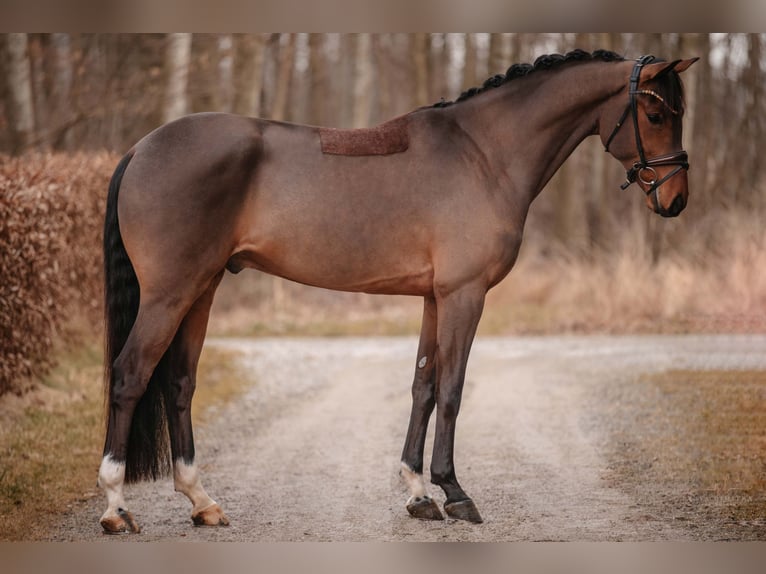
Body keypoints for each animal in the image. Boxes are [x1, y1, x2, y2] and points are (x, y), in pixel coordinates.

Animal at [99, 49, 700, 536]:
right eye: (655, 115)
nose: (675, 200)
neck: (484, 154)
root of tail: (140, 149)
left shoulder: (435, 298)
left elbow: (423, 387)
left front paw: (417, 494)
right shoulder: (464, 294)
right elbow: (453, 389)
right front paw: (454, 492)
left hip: (201, 288)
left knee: (179, 382)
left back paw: (202, 502)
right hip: (170, 293)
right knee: (130, 375)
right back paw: (116, 507)